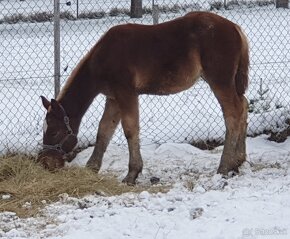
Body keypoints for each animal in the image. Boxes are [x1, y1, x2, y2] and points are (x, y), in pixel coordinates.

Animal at [39, 11, 249, 185]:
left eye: (54, 131)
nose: (45, 162)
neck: (102, 58)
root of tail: (235, 28)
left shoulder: (126, 93)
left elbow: (130, 130)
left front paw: (132, 174)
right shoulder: (113, 98)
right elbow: (104, 130)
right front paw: (92, 167)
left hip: (219, 80)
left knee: (233, 113)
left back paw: (224, 167)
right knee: (244, 105)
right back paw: (238, 162)